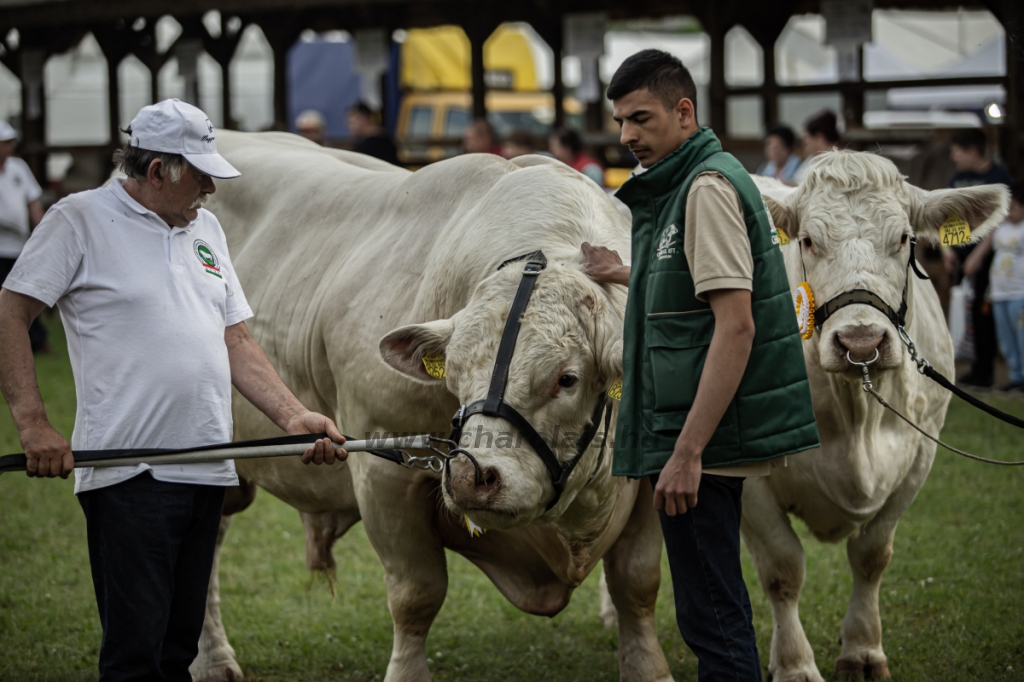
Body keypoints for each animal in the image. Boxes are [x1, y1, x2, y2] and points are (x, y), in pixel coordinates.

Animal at [191, 131, 671, 679]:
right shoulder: (384, 472)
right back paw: (213, 659)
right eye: (455, 379)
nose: (470, 476)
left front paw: (648, 667)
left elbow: (637, 583)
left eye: (566, 379)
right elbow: (416, 593)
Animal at [745, 151, 1007, 675]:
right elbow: (783, 568)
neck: (856, 417)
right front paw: (795, 665)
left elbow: (871, 555)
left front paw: (863, 649)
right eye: (808, 240)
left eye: (904, 238)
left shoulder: (920, 452)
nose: (861, 342)